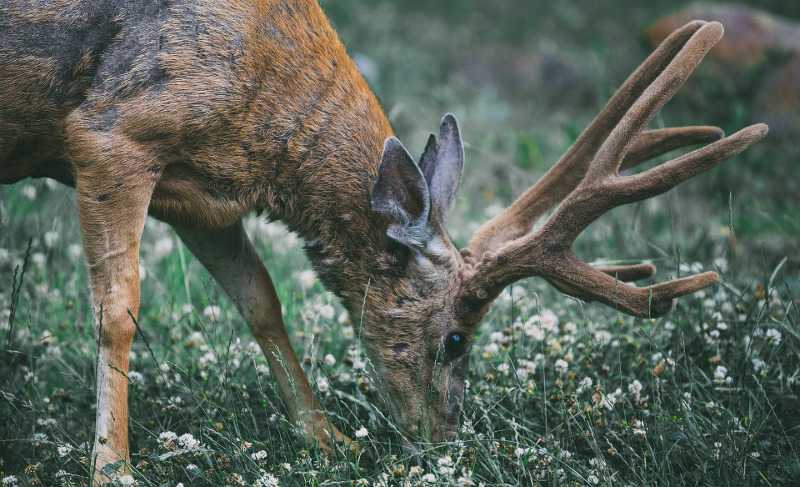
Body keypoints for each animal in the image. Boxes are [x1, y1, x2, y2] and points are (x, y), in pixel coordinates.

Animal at [0, 0, 768, 482]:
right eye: (456, 339)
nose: (444, 439)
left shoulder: (200, 196)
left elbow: (261, 300)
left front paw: (327, 440)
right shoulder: (111, 133)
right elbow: (118, 312)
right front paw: (113, 467)